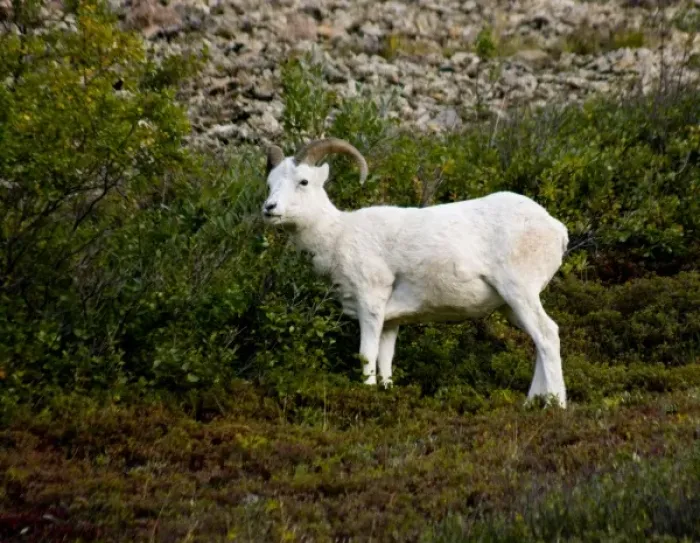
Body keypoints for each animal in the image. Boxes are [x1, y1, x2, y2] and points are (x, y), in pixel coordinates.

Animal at [262, 138, 569, 407]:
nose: (269, 209)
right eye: (270, 184)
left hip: (520, 292)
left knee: (547, 335)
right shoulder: (391, 321)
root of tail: (556, 229)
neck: (336, 234)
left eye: (303, 181)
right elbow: (385, 360)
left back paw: (556, 405)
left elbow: (366, 355)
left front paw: (367, 392)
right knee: (539, 341)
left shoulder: (370, 304)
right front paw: (386, 391)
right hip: (511, 307)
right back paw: (530, 403)